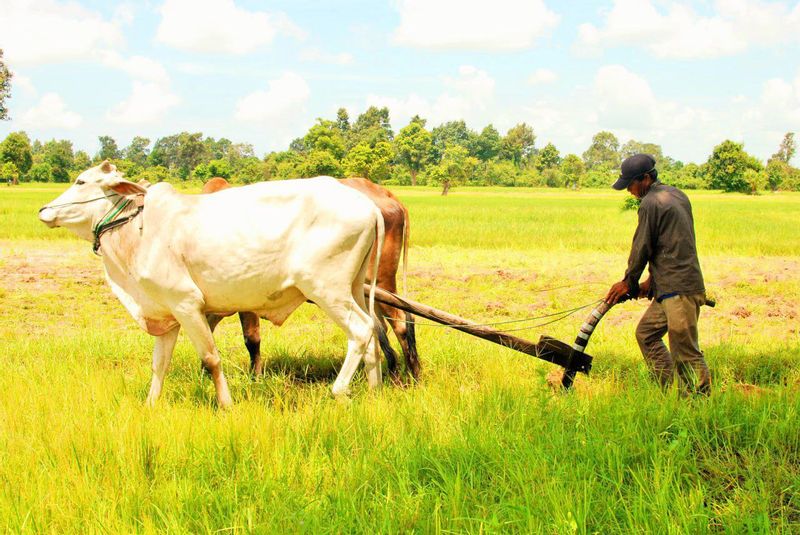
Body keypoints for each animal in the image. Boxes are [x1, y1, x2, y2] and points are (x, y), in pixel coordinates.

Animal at [39, 161, 384, 408]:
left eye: (81, 181)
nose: (43, 210)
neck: (139, 228)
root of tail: (370, 207)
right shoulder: (167, 313)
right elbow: (159, 364)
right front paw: (150, 405)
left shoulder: (186, 304)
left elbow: (211, 358)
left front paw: (226, 403)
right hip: (353, 287)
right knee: (373, 333)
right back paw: (373, 390)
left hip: (326, 289)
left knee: (360, 330)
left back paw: (339, 391)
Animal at [203, 176, 422, 382]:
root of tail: (387, 196)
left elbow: (251, 339)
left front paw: (255, 378)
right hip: (365, 289)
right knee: (382, 326)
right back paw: (397, 372)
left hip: (383, 281)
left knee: (401, 323)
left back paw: (409, 376)